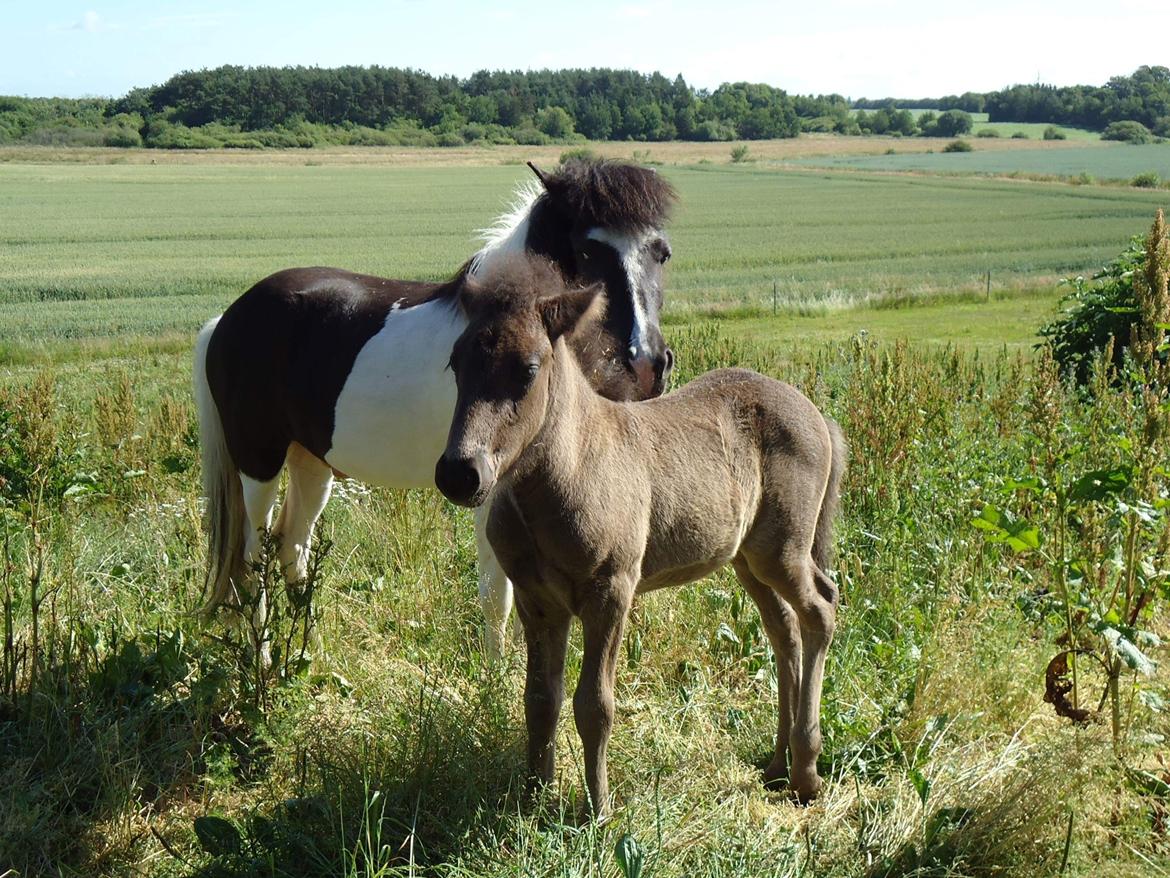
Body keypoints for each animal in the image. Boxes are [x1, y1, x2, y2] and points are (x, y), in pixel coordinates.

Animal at [194, 160, 678, 660]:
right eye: (585, 251)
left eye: (662, 253)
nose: (647, 363)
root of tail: (226, 319)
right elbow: (497, 591)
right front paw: (495, 673)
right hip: (259, 462)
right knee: (254, 558)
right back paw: (265, 659)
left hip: (311, 461)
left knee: (291, 546)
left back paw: (312, 654)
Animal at [435, 257, 847, 824]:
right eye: (456, 363)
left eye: (528, 369)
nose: (460, 474)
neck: (569, 469)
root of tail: (818, 417)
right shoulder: (538, 602)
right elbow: (539, 699)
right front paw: (532, 799)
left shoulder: (611, 590)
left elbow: (594, 704)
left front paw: (598, 811)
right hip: (747, 558)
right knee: (783, 629)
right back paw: (776, 764)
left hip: (782, 551)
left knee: (820, 610)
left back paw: (806, 771)